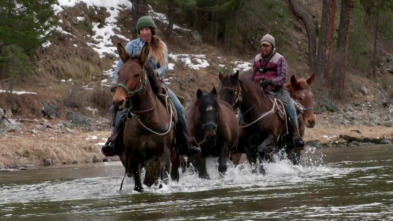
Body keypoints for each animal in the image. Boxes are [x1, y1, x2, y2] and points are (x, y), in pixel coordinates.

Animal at [112, 43, 179, 192]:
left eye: (137, 74)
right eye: (119, 73)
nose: (118, 101)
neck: (148, 121)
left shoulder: (164, 155)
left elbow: (163, 180)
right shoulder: (133, 159)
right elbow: (138, 185)